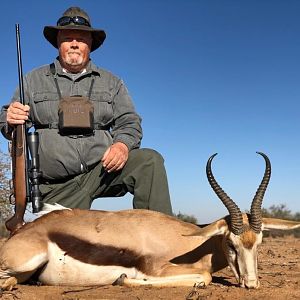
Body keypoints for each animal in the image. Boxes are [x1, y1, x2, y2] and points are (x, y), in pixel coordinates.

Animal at [0, 151, 300, 290]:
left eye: (258, 243)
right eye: (230, 244)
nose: (251, 284)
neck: (190, 244)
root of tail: (26, 231)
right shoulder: (158, 269)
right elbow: (203, 277)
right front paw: (123, 279)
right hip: (23, 262)